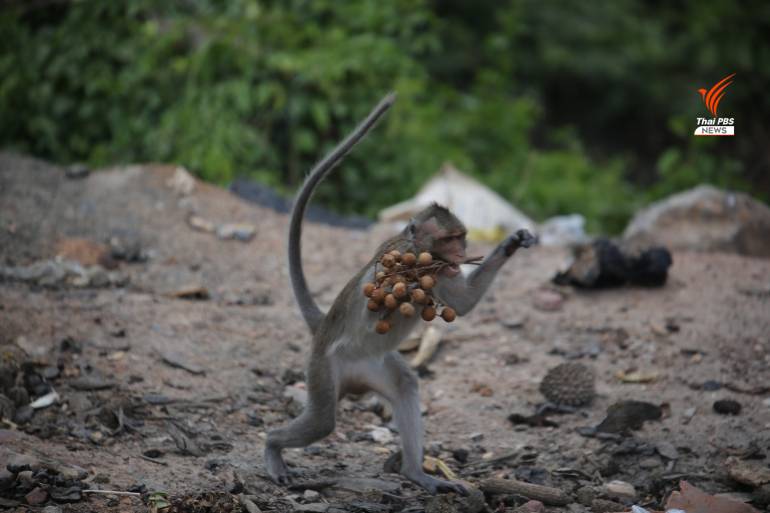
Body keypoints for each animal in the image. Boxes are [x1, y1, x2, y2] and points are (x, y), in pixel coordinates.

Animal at [264, 92, 536, 492]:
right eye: (450, 240)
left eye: (461, 238)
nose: (460, 254)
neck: (422, 258)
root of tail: (323, 327)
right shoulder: (390, 263)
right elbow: (371, 308)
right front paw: (403, 289)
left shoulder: (441, 273)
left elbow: (463, 305)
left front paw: (512, 243)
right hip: (323, 369)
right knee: (323, 422)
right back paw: (272, 445)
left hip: (374, 366)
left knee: (405, 384)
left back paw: (414, 472)